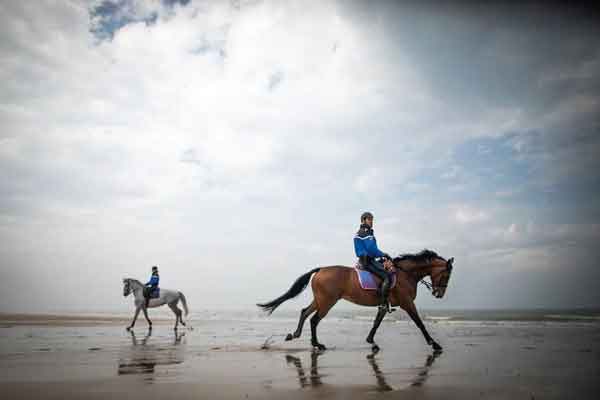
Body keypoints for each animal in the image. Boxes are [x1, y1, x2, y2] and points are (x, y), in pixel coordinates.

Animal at [255, 248, 452, 352]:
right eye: (447, 274)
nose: (439, 294)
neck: (405, 274)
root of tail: (320, 270)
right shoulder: (407, 303)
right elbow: (420, 323)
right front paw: (434, 344)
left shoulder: (384, 305)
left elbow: (376, 322)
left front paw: (371, 341)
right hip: (327, 301)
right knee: (314, 319)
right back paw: (317, 344)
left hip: (320, 300)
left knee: (305, 313)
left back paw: (296, 335)